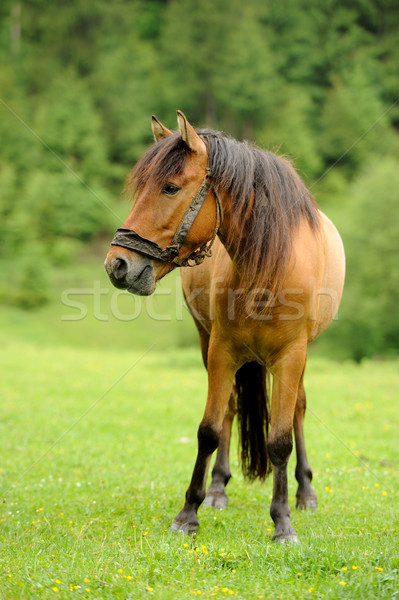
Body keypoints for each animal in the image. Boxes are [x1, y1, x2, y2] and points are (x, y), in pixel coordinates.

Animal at [104, 109, 346, 544]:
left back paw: (305, 491)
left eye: (169, 187)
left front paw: (283, 522)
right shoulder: (221, 352)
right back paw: (218, 488)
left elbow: (280, 440)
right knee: (231, 408)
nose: (117, 264)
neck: (268, 268)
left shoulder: (291, 356)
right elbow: (209, 430)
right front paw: (189, 512)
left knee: (299, 409)